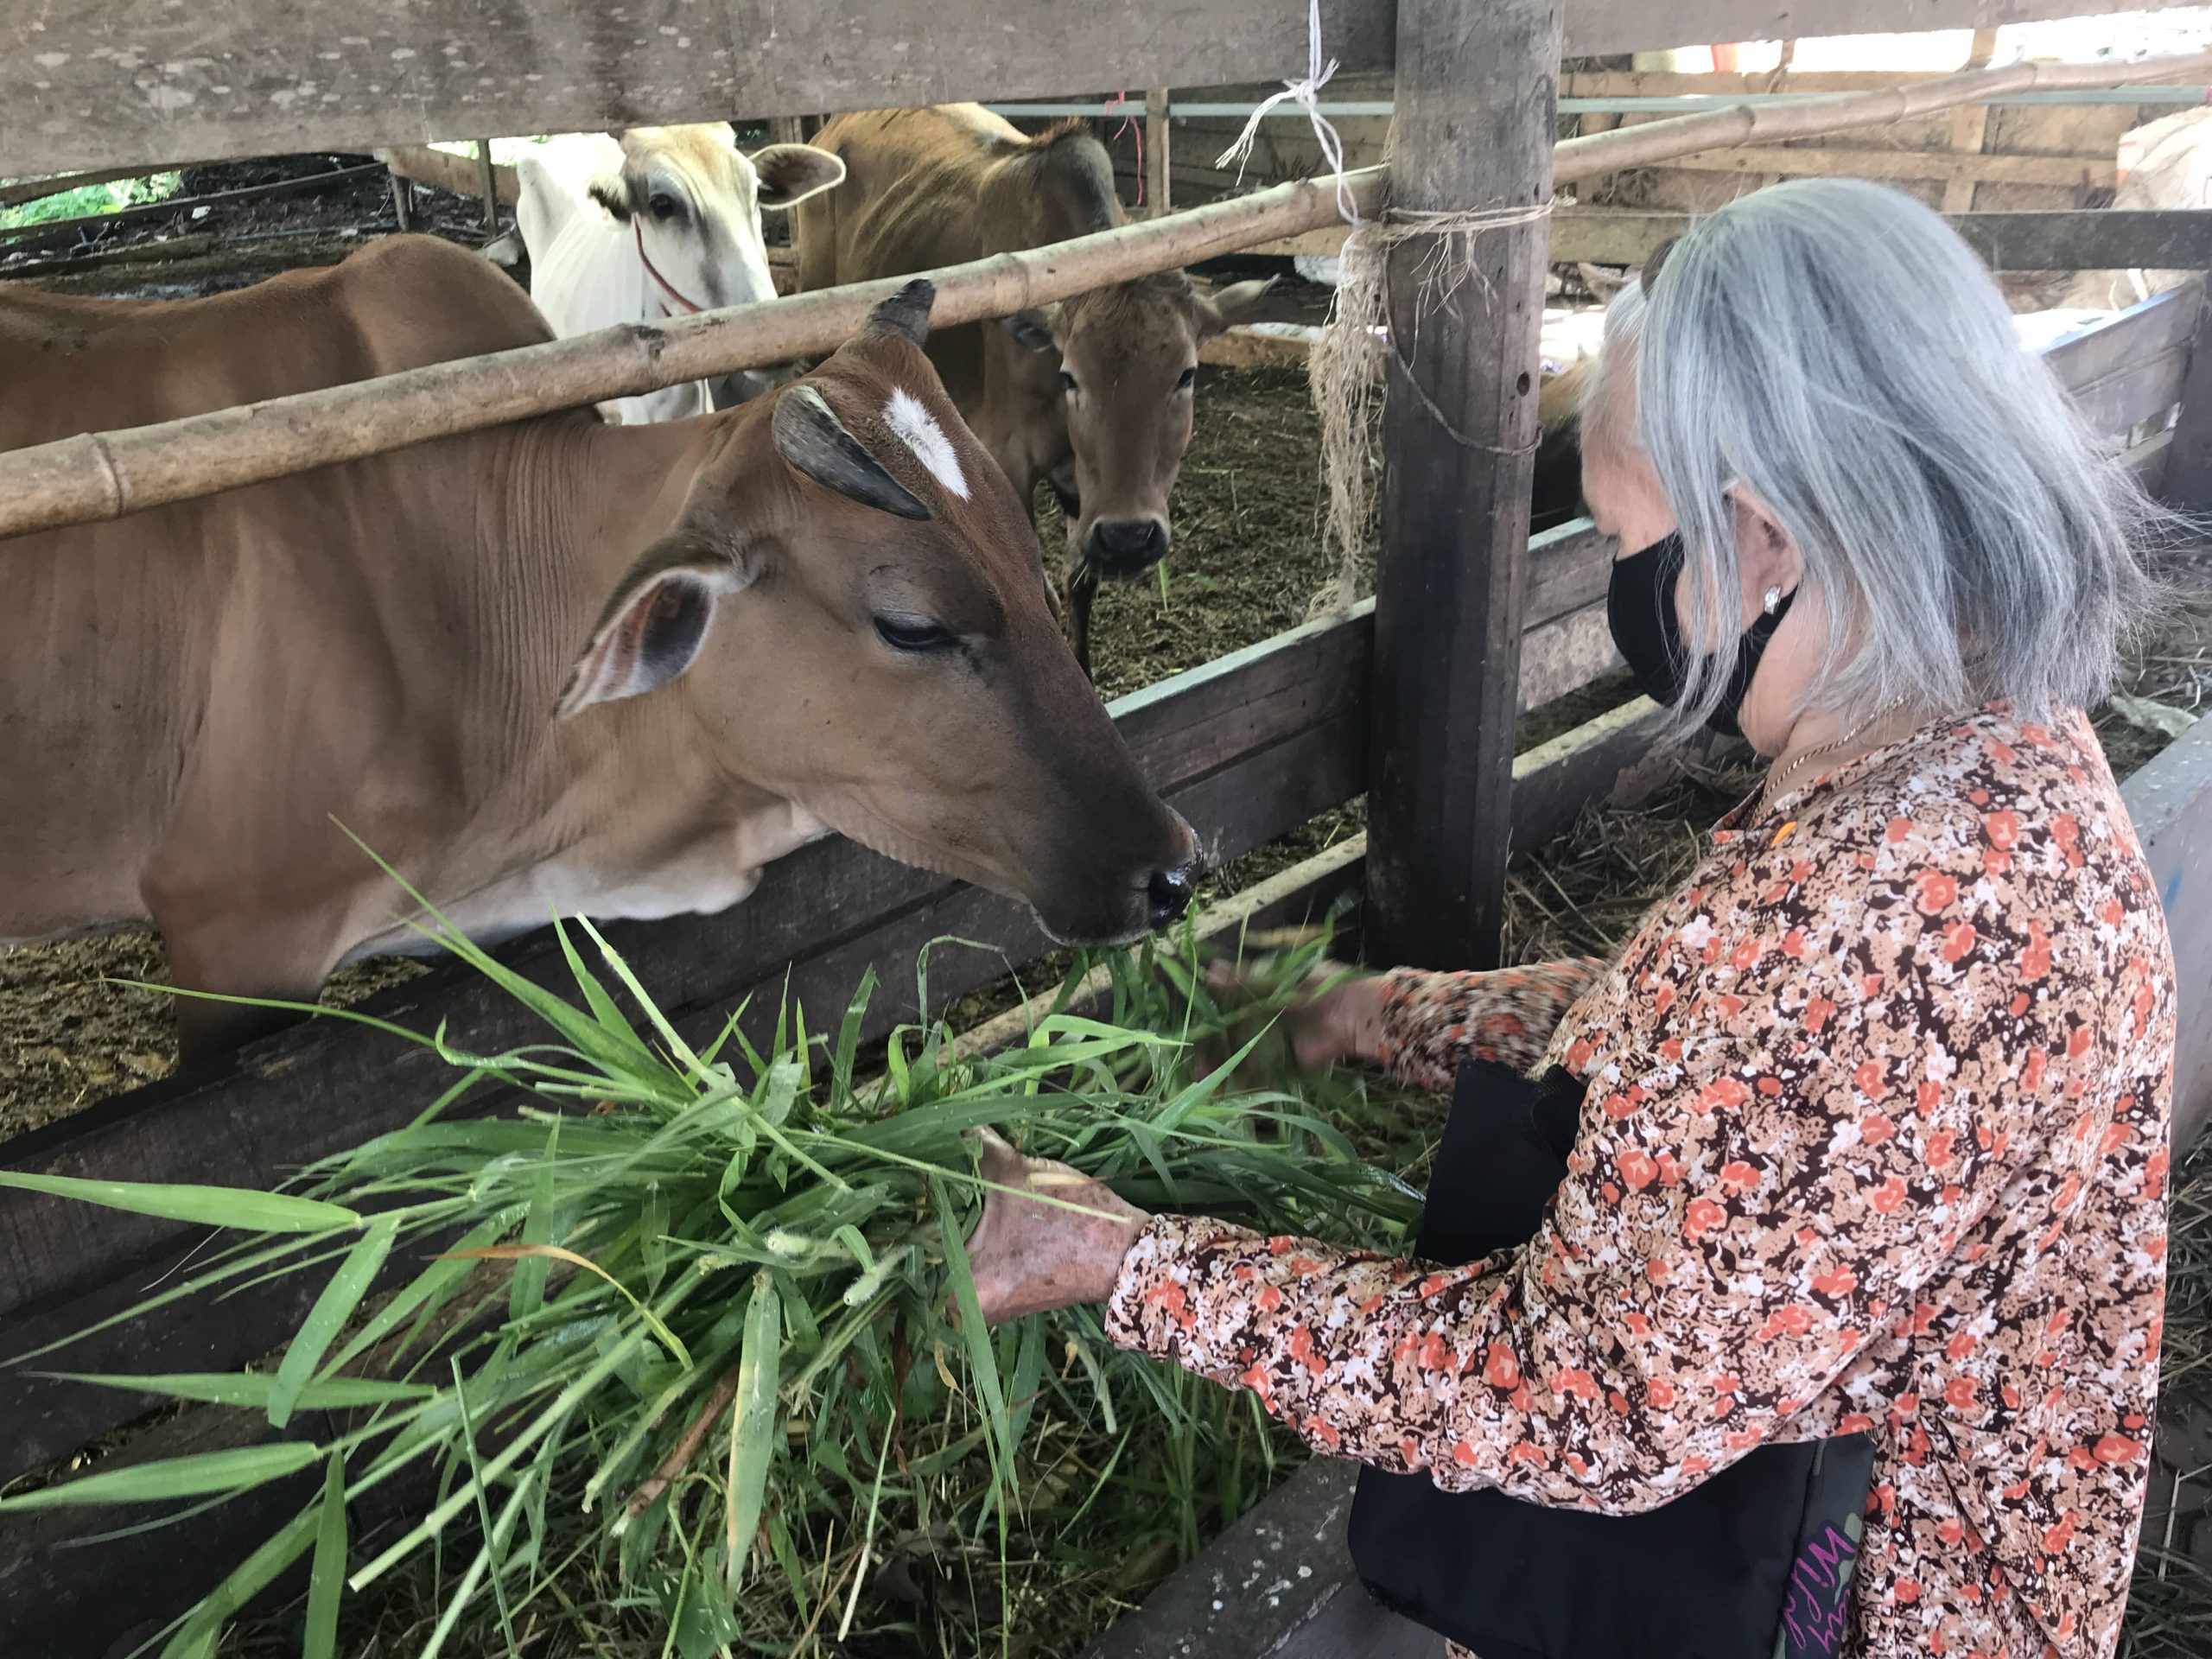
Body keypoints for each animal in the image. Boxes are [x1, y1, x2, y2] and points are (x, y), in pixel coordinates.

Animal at [796, 105, 1282, 677]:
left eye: (1186, 374)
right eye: (1072, 376)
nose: (1129, 539)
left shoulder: (1081, 489)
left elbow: (1079, 583)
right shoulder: (1007, 461)